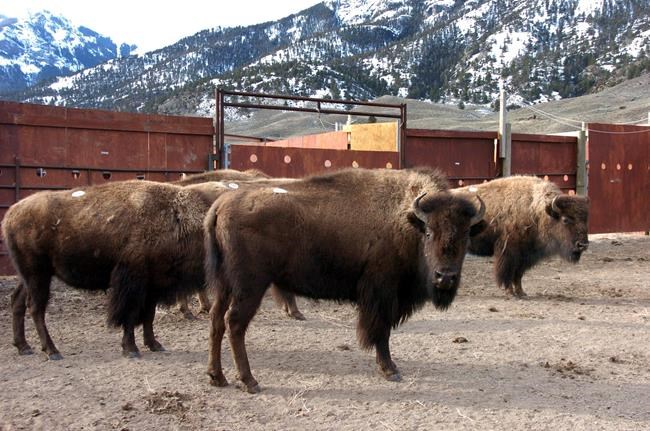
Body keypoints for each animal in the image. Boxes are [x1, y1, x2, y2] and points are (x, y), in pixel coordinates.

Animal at [204, 167, 485, 393]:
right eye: (428, 232)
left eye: (466, 235)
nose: (445, 277)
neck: (406, 219)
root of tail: (221, 205)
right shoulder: (382, 294)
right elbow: (381, 332)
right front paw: (390, 370)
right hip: (250, 286)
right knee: (235, 323)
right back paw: (249, 381)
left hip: (225, 285)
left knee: (217, 320)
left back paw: (217, 377)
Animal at [460, 176, 589, 297]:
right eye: (565, 219)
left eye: (585, 220)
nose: (583, 245)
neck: (535, 210)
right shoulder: (508, 254)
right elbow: (507, 273)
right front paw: (510, 292)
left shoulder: (525, 257)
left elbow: (518, 275)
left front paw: (521, 292)